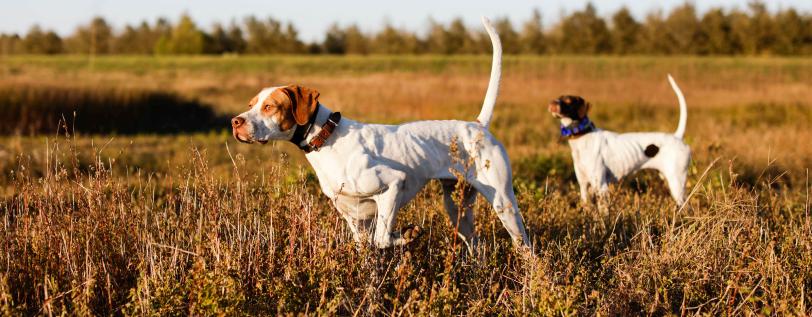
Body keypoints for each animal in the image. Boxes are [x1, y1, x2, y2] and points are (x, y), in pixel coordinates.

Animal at [232, 16, 528, 249]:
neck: (327, 138)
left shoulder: (392, 185)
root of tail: (478, 125)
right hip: (458, 207)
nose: (236, 122)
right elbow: (369, 248)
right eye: (250, 104)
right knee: (476, 245)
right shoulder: (356, 221)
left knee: (526, 246)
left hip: (504, 204)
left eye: (269, 106)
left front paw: (406, 235)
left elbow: (383, 238)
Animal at [544, 75, 692, 206]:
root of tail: (677, 136)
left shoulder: (601, 187)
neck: (583, 137)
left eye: (568, 101)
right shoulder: (584, 187)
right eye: (559, 98)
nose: (552, 103)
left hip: (677, 183)